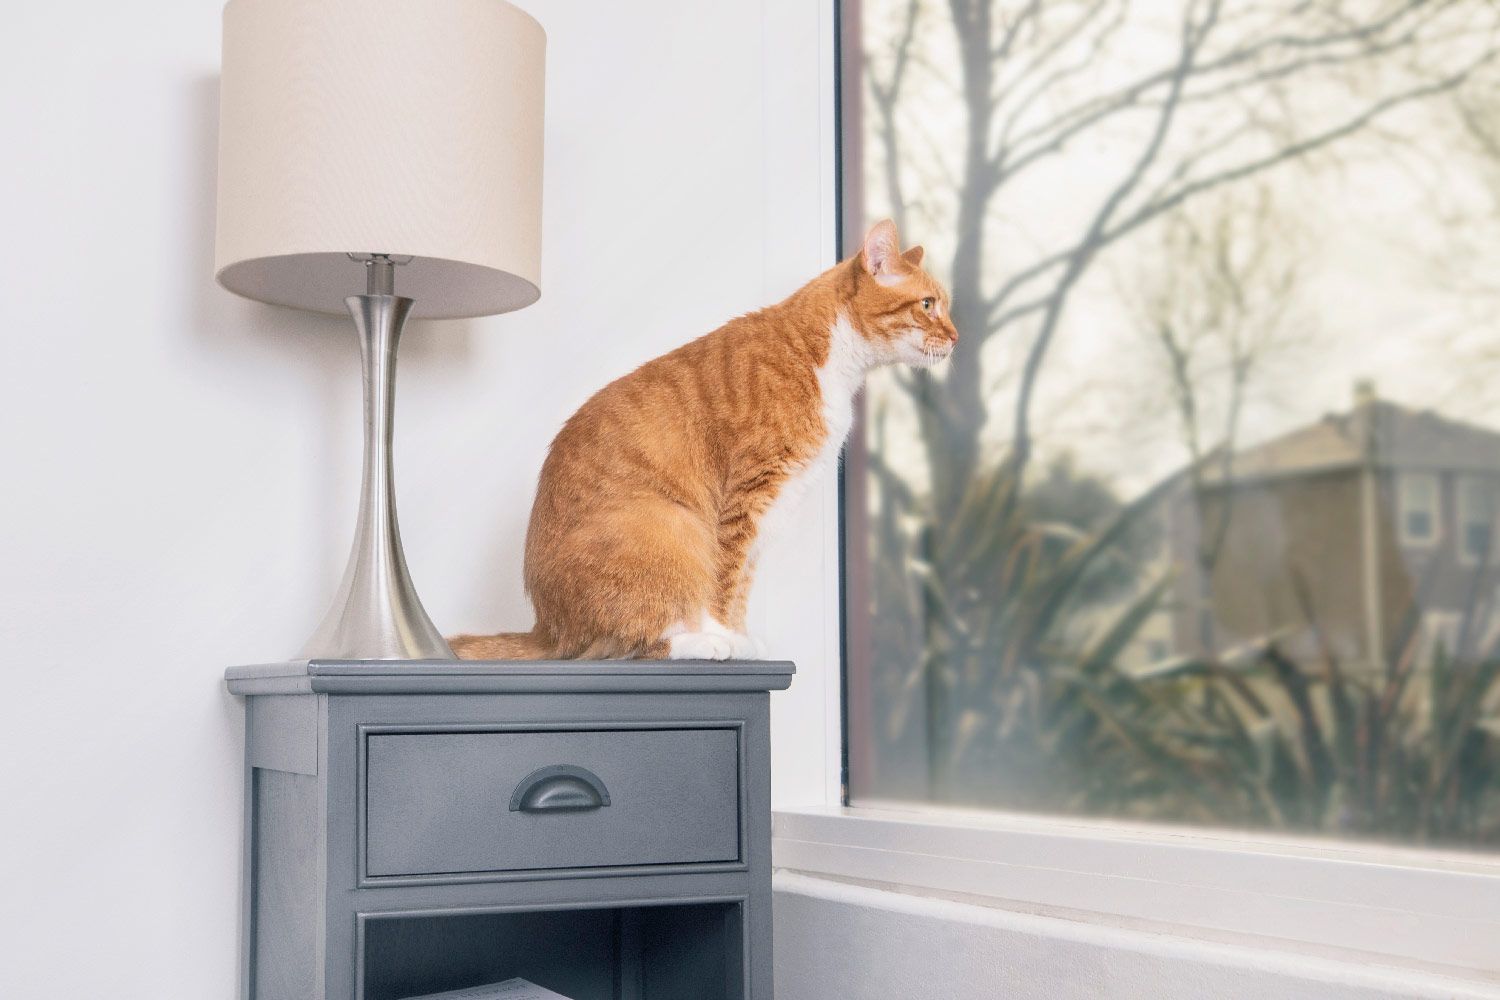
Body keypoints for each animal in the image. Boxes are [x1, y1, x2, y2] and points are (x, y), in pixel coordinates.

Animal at [447, 218, 960, 659]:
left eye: (944, 306)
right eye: (928, 305)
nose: (957, 336)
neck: (827, 358)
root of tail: (545, 628)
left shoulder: (768, 508)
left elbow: (742, 585)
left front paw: (743, 638)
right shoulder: (745, 497)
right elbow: (722, 581)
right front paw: (723, 637)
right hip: (673, 524)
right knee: (626, 643)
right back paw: (699, 642)